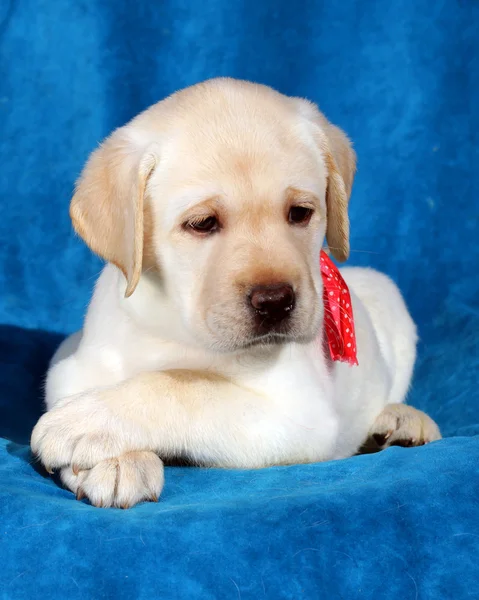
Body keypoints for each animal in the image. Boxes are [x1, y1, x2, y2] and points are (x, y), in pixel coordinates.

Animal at [31, 78, 442, 506]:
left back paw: (403, 421)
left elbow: (183, 385)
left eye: (300, 213)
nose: (276, 301)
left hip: (386, 296)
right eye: (202, 223)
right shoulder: (72, 366)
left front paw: (82, 423)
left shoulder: (297, 414)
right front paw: (117, 461)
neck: (178, 323)